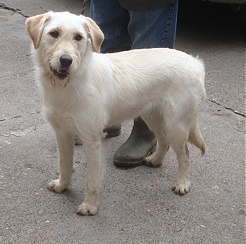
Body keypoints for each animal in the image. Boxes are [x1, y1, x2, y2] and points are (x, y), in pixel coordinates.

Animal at [25, 11, 206, 215]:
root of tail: (196, 62)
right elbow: (64, 164)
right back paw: (156, 160)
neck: (70, 84)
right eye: (54, 33)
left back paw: (183, 183)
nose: (66, 60)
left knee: (184, 154)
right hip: (151, 116)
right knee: (163, 141)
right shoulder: (62, 133)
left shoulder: (92, 140)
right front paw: (62, 186)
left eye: (78, 37)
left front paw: (90, 206)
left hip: (177, 126)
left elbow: (92, 180)